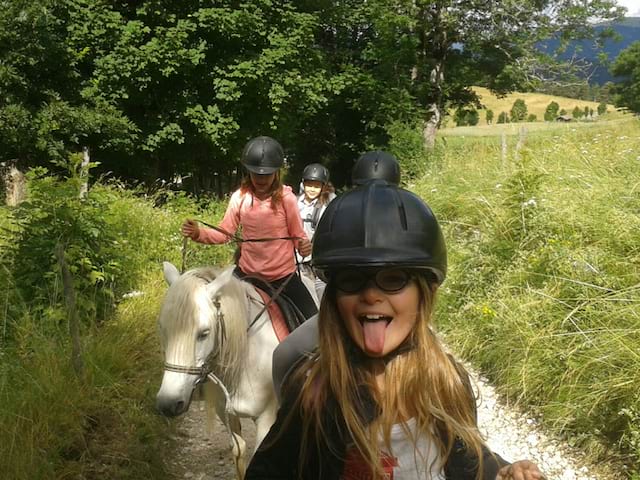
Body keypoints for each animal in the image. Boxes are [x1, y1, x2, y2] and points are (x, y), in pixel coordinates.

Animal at [158, 264, 318, 478]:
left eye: (204, 333)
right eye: (163, 329)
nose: (168, 403)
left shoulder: (267, 416)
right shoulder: (226, 412)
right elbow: (239, 451)